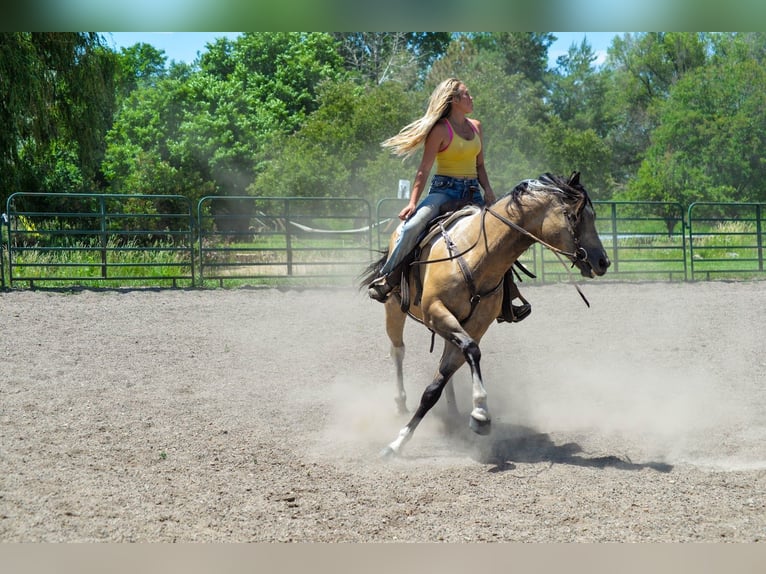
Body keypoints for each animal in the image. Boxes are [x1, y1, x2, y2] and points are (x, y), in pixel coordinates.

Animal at [360, 170, 612, 460]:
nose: (603, 261)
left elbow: (437, 385)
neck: (477, 256)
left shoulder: (475, 326)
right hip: (394, 307)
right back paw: (401, 403)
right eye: (574, 216)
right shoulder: (436, 312)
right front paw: (480, 413)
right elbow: (470, 352)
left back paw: (453, 412)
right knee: (398, 350)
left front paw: (404, 439)